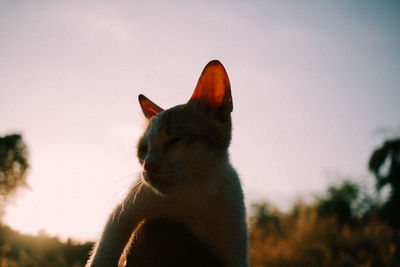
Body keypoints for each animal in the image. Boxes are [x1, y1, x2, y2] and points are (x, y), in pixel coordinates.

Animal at [86, 60, 248, 267]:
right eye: (143, 149)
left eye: (174, 141)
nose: (148, 166)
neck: (189, 196)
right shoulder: (125, 211)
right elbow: (105, 250)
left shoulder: (233, 236)